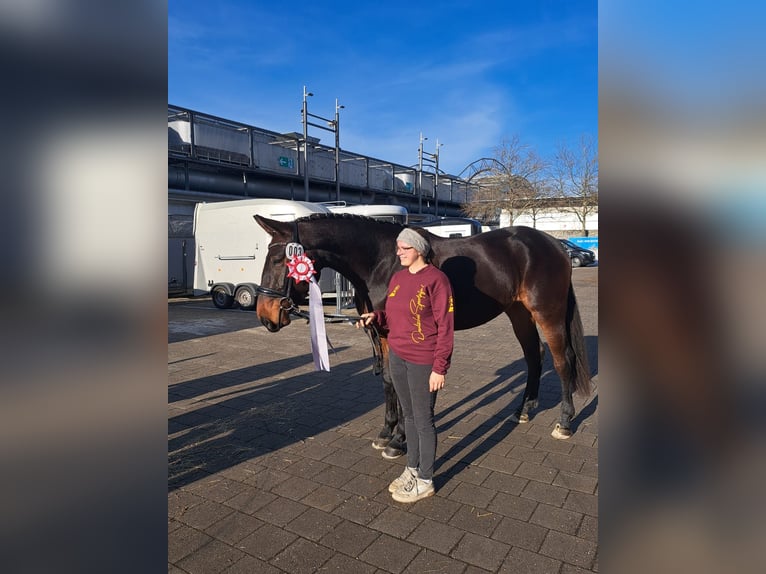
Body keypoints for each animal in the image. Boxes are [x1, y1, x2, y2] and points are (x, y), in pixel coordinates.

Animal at [253, 213, 592, 459]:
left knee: (563, 361)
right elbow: (389, 380)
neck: (382, 261)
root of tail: (554, 244)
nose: (266, 315)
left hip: (547, 313)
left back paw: (564, 422)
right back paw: (523, 411)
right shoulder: (381, 332)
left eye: (280, 260)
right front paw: (386, 433)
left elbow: (404, 382)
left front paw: (399, 440)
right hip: (518, 313)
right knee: (535, 357)